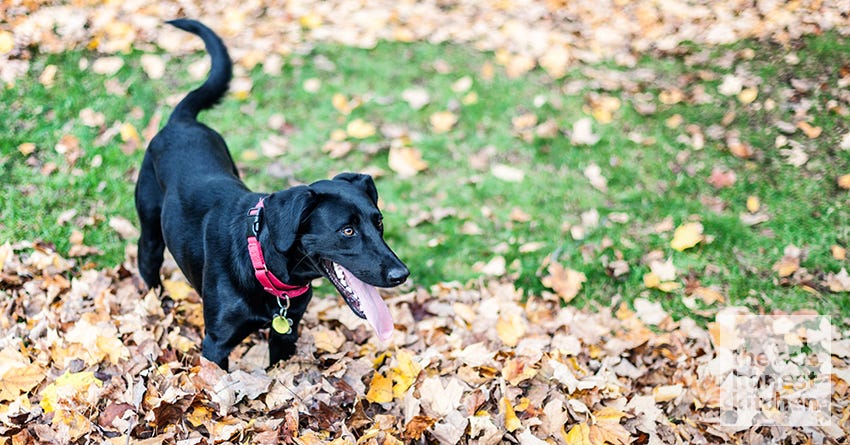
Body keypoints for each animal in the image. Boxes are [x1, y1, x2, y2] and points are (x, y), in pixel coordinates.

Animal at [135, 20, 408, 368]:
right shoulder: (216, 345)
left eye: (379, 223)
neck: (266, 266)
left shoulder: (286, 333)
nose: (402, 274)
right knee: (150, 269)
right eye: (347, 230)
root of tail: (182, 120)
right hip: (150, 235)